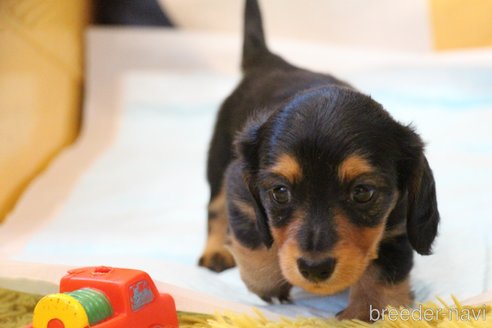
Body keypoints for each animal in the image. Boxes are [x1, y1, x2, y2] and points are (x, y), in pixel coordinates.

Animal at [198, 0, 440, 322]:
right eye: (280, 192)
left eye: (363, 192)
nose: (315, 269)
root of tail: (270, 62)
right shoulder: (240, 186)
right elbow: (255, 242)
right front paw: (270, 283)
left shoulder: (395, 222)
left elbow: (384, 271)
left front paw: (364, 313)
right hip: (219, 157)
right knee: (214, 209)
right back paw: (215, 252)